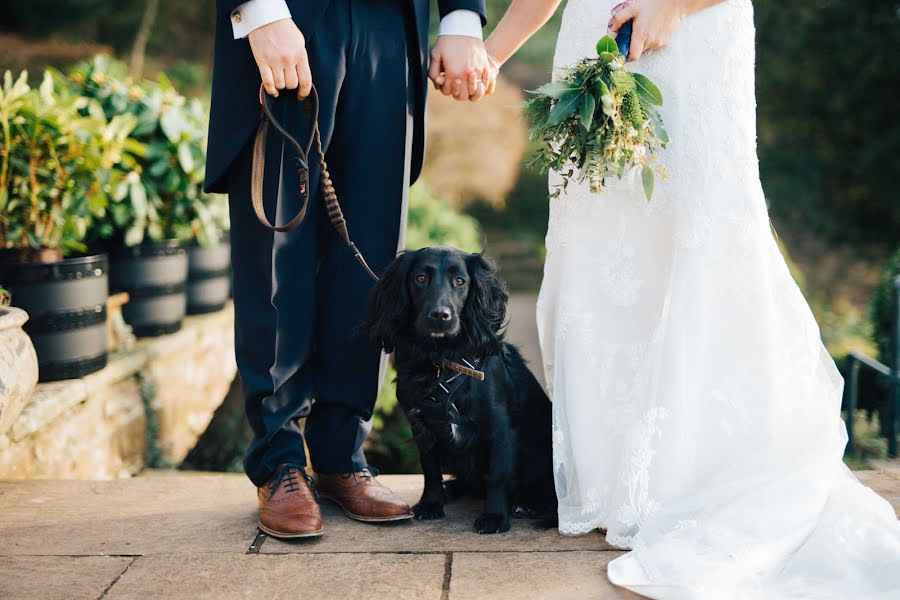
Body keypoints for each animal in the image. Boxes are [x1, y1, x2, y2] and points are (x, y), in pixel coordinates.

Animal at [364, 248, 556, 536]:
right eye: (420, 278)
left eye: (460, 281)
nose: (440, 315)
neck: (441, 360)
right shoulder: (421, 424)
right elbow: (430, 470)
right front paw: (432, 503)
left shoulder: (499, 426)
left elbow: (497, 475)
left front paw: (495, 517)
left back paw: (529, 505)